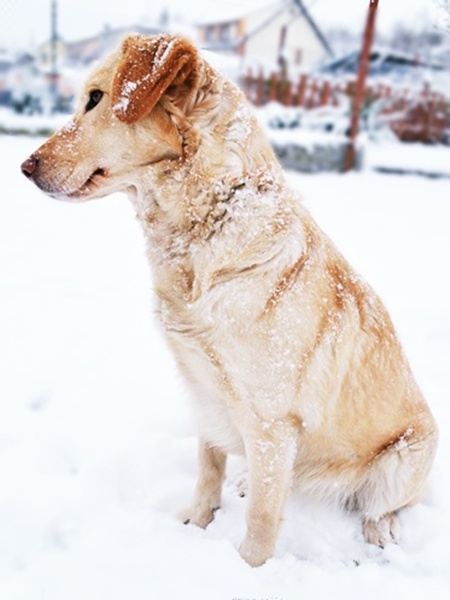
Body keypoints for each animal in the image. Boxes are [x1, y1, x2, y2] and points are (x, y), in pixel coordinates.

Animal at [20, 34, 436, 568]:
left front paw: (247, 571)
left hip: (402, 459)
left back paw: (379, 535)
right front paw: (197, 526)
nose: (25, 167)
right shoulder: (204, 392)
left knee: (379, 507)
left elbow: (260, 520)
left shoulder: (271, 422)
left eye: (95, 98)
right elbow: (207, 471)